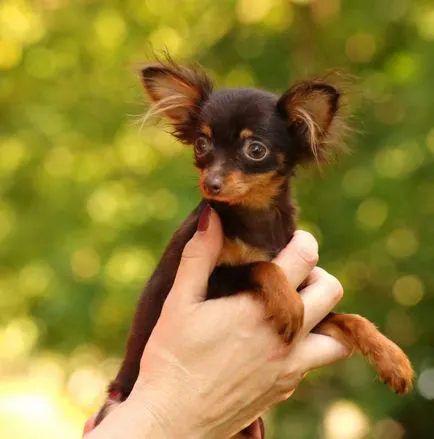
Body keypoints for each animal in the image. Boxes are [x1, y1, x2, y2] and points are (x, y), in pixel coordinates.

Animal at [95, 58, 414, 436]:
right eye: (201, 144)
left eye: (256, 150)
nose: (211, 183)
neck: (255, 216)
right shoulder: (212, 281)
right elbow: (260, 266)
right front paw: (288, 305)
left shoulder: (311, 302)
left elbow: (351, 319)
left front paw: (393, 359)